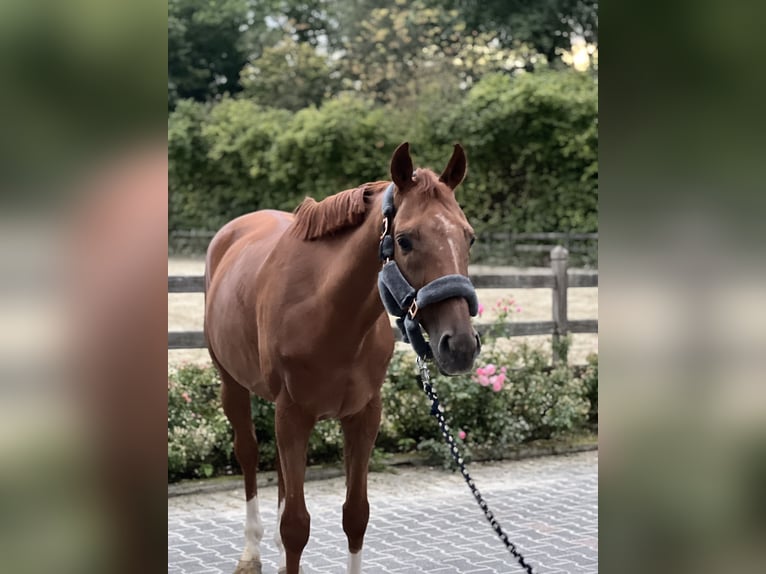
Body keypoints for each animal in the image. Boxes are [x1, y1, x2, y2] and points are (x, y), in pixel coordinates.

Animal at [204, 142, 480, 572]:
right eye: (405, 240)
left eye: (468, 238)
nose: (461, 345)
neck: (326, 313)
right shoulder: (293, 414)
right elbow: (296, 526)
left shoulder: (363, 416)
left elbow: (355, 515)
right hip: (232, 384)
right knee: (247, 453)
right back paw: (251, 553)